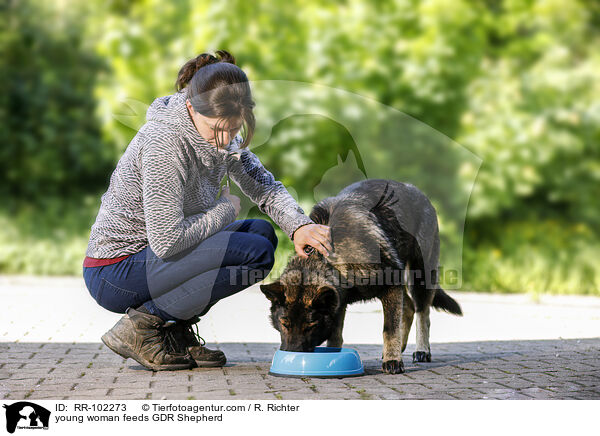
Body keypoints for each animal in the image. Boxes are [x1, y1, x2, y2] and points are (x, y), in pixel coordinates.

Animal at [260, 179, 462, 372]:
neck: (328, 258)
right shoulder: (339, 301)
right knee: (409, 308)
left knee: (423, 313)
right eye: (284, 323)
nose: (291, 356)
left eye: (311, 325)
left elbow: (390, 329)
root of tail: (419, 193)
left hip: (420, 276)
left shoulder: (391, 285)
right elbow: (336, 334)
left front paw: (393, 361)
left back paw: (422, 350)